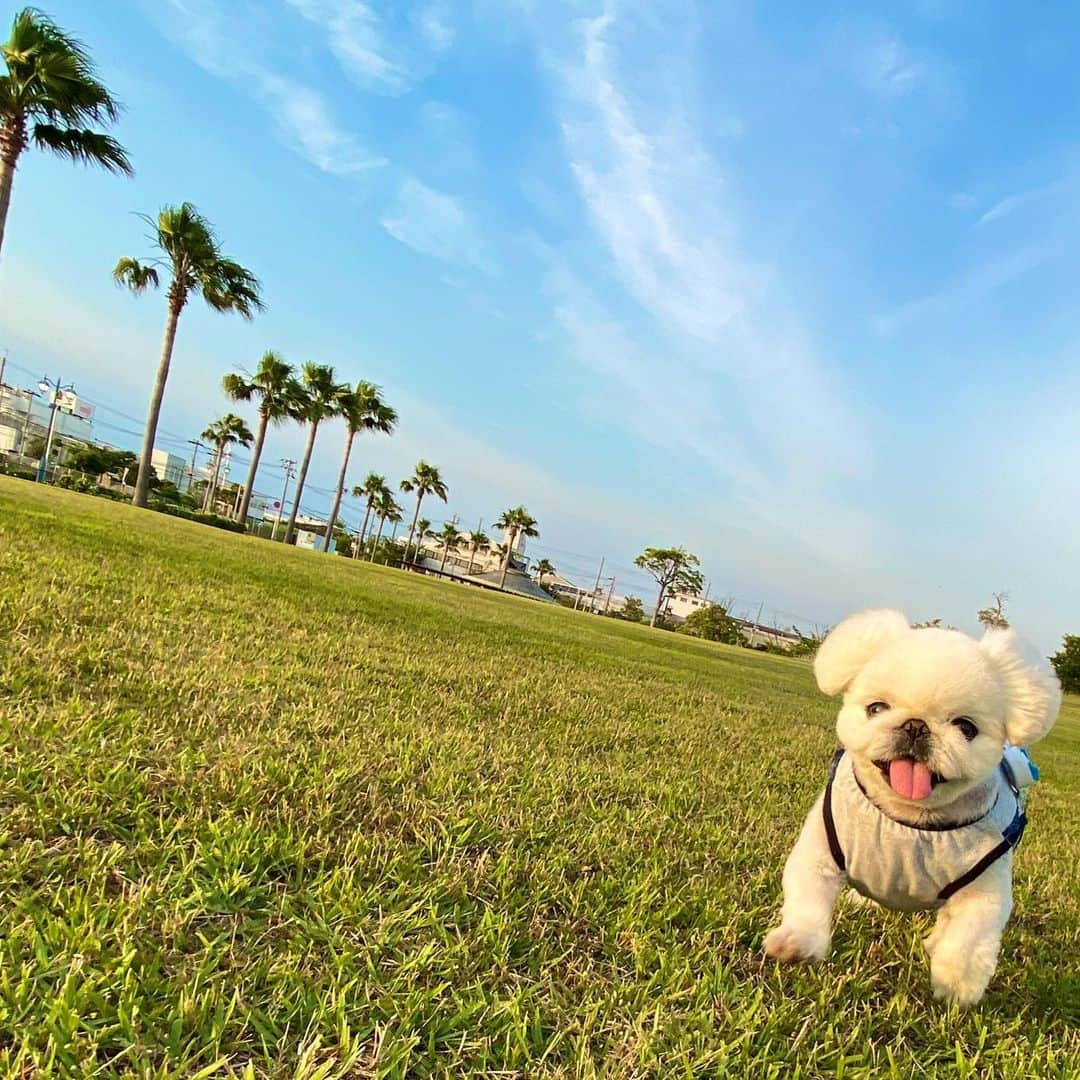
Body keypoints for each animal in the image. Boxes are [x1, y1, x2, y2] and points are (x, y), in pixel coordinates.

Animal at [764, 609, 1058, 1002]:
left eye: (966, 727)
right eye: (876, 708)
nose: (916, 725)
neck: (908, 821)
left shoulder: (983, 890)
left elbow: (968, 941)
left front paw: (956, 985)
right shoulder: (821, 854)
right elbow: (808, 900)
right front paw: (796, 944)